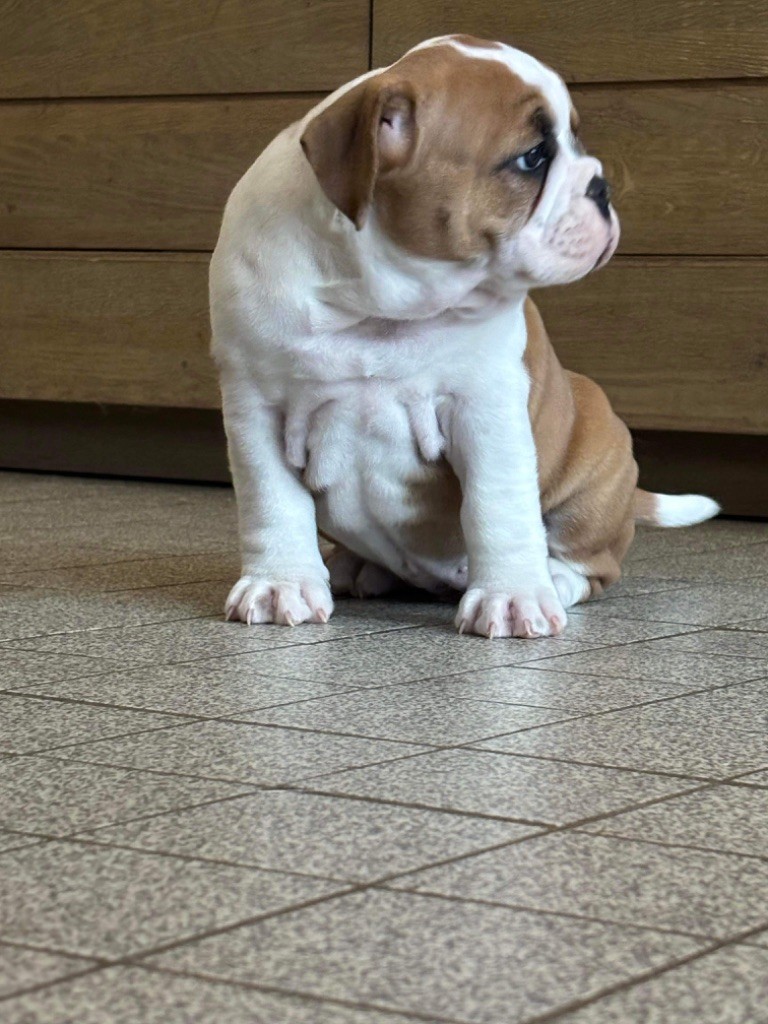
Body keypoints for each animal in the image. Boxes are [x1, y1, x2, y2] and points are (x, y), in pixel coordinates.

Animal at [210, 34, 719, 639]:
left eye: (573, 141)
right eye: (532, 157)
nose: (603, 186)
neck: (377, 304)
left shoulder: (485, 407)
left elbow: (495, 505)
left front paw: (513, 597)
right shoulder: (257, 407)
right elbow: (272, 503)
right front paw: (279, 584)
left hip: (597, 449)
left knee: (592, 563)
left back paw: (553, 578)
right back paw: (356, 566)